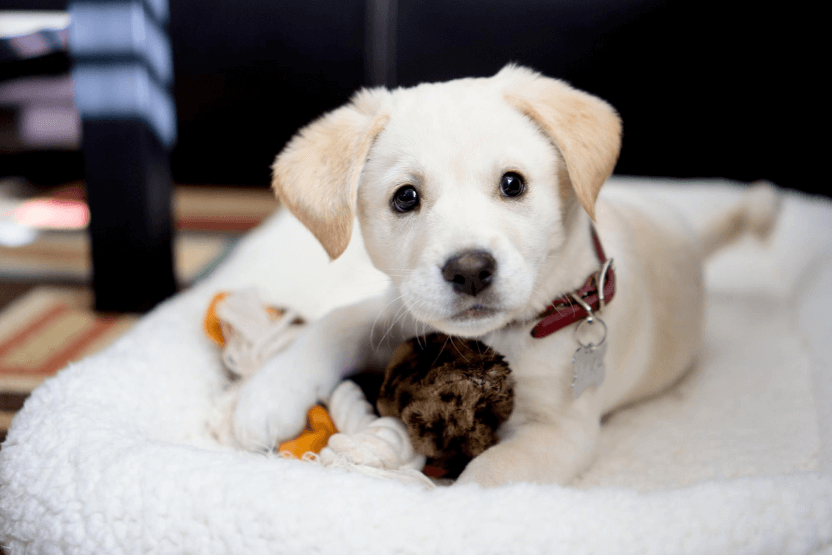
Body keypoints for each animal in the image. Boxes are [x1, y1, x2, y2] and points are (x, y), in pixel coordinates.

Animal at [231, 65, 776, 486]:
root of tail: (691, 234)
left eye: (513, 184)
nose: (470, 270)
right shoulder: (398, 311)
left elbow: (490, 474)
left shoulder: (562, 430)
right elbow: (331, 326)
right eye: (405, 197)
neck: (498, 338)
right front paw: (263, 399)